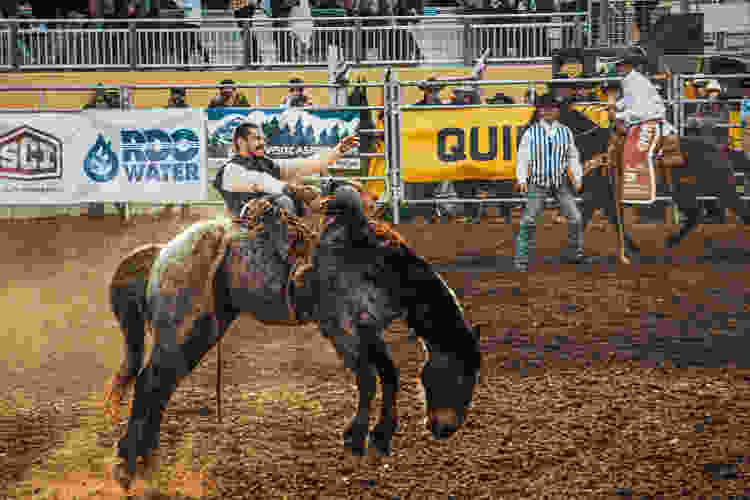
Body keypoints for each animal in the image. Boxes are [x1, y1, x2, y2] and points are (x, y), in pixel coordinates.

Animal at [104, 183, 482, 492]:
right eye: (459, 375)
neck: (378, 264)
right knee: (150, 383)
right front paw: (356, 438)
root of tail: (162, 253)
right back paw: (127, 467)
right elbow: (368, 380)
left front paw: (380, 439)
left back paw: (147, 466)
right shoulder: (341, 329)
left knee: (162, 385)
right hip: (180, 326)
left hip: (203, 330)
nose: (446, 429)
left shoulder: (367, 329)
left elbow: (389, 375)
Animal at [564, 103, 750, 264]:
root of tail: (720, 149)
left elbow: (594, 219)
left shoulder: (599, 195)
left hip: (719, 189)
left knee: (726, 212)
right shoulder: (602, 198)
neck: (596, 146)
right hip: (693, 192)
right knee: (697, 214)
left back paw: (672, 240)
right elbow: (604, 221)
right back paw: (672, 240)